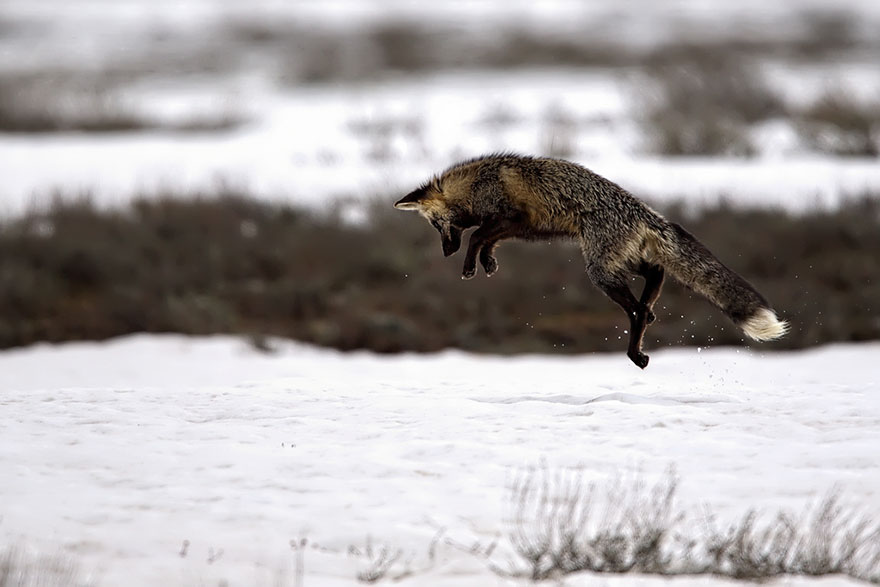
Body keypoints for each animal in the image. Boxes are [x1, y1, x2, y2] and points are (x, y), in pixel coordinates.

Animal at [394, 153, 788, 368]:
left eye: (436, 225)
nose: (446, 252)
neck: (477, 185)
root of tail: (644, 213)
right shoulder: (520, 226)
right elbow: (487, 238)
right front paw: (487, 263)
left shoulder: (513, 217)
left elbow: (478, 235)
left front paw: (470, 266)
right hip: (619, 261)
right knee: (655, 274)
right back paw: (644, 328)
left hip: (599, 269)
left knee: (637, 309)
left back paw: (638, 342)